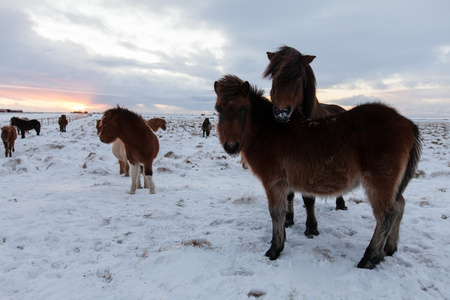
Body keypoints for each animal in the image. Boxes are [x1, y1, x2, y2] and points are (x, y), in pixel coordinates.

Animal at [214, 75, 422, 270]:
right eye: (218, 110)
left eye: (243, 109)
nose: (231, 146)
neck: (267, 130)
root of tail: (407, 124)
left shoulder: (273, 182)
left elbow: (276, 212)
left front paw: (275, 249)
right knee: (399, 206)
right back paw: (390, 248)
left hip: (379, 183)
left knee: (386, 215)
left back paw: (370, 258)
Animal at [264, 45, 348, 237]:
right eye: (274, 76)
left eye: (298, 77)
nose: (281, 112)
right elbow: (289, 194)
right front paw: (288, 220)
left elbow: (309, 199)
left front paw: (311, 228)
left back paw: (340, 205)